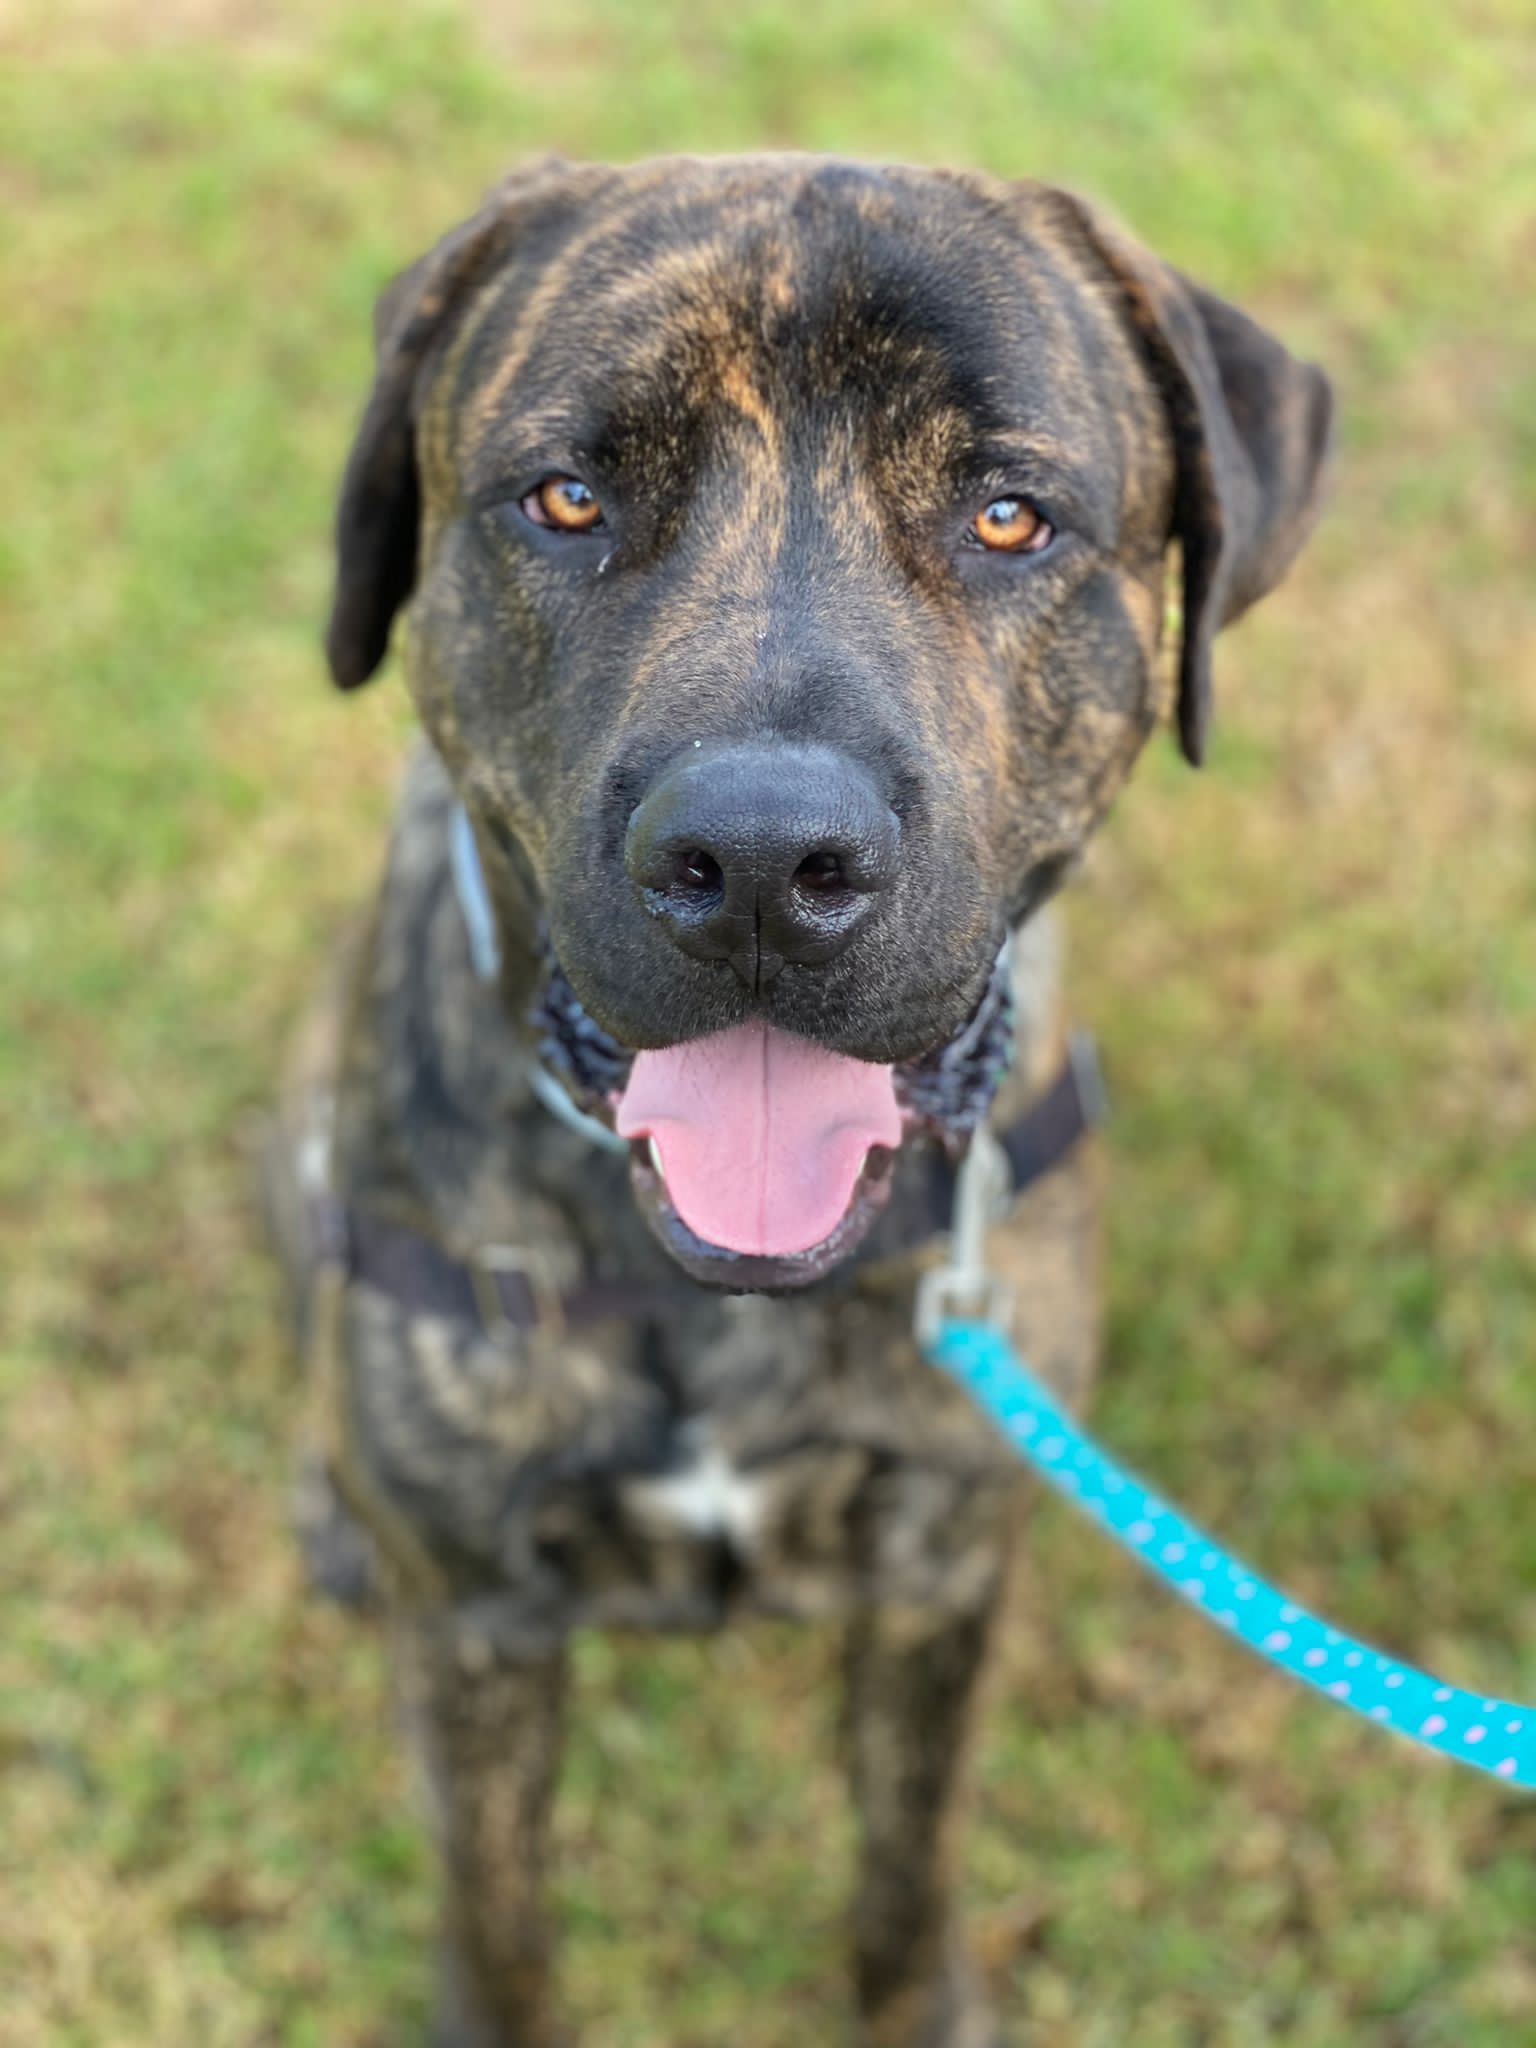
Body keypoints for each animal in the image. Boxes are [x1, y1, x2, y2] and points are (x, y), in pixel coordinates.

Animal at [263, 153, 1331, 2047]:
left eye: (1008, 516)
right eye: (566, 497)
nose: (761, 859)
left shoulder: (939, 1572)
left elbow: (905, 1863)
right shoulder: (477, 1631)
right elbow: (499, 1914)